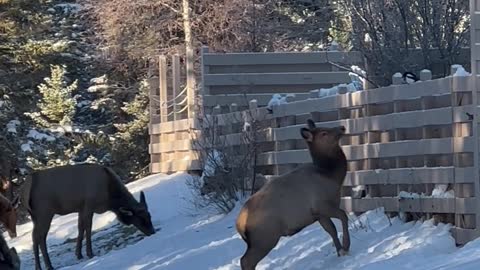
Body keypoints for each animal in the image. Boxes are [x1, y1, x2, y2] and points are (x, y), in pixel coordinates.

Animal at [19, 163, 155, 270]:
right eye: (141, 219)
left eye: (150, 216)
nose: (153, 232)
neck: (110, 198)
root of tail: (25, 189)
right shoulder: (89, 205)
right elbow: (88, 228)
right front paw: (90, 253)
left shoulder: (81, 208)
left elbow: (80, 229)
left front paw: (78, 254)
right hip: (45, 212)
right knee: (41, 237)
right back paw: (49, 265)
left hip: (35, 216)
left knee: (34, 237)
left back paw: (38, 266)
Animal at [235, 119, 348, 270]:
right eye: (324, 133)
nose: (342, 127)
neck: (331, 175)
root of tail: (239, 224)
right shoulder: (322, 205)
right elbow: (343, 216)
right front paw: (346, 246)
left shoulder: (318, 214)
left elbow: (332, 230)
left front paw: (340, 251)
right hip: (265, 237)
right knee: (246, 260)